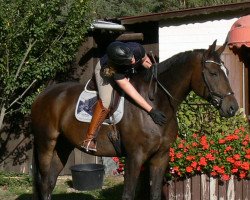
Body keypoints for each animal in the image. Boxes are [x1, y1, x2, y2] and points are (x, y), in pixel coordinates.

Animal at [31, 39, 238, 199]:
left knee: (50, 183)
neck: (155, 104)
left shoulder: (160, 157)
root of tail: (42, 95)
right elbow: (128, 194)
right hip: (46, 144)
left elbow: (155, 193)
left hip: (63, 146)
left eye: (227, 71)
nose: (232, 107)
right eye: (213, 73)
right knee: (44, 183)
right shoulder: (134, 156)